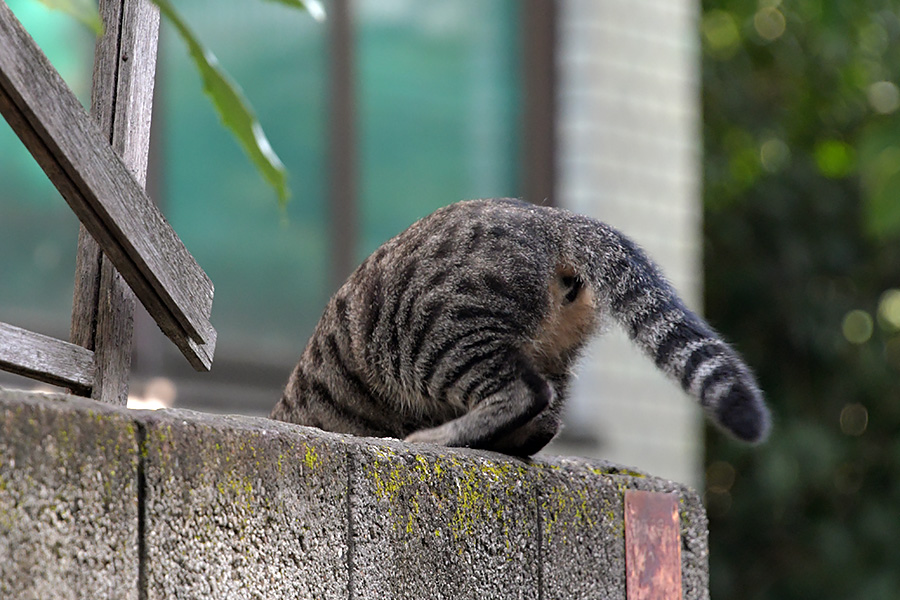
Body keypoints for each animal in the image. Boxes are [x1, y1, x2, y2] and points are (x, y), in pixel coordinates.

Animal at [270, 197, 768, 454]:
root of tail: (551, 217)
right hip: (550, 351)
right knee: (547, 417)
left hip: (434, 340)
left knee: (525, 392)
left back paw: (440, 435)